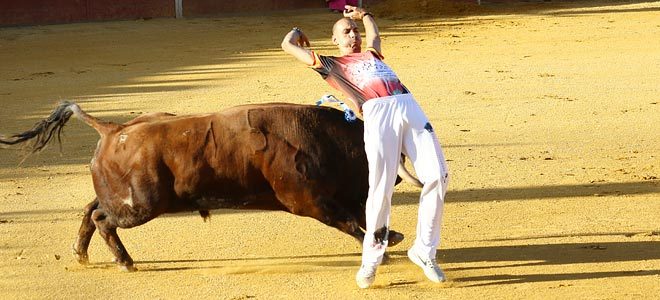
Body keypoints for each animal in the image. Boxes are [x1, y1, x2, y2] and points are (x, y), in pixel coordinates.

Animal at [0, 102, 420, 272]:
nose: (398, 180)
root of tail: (114, 129)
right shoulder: (309, 200)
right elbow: (348, 220)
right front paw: (385, 243)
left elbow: (354, 217)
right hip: (140, 205)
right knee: (103, 218)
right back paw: (125, 262)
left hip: (123, 197)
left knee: (91, 210)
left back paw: (81, 254)